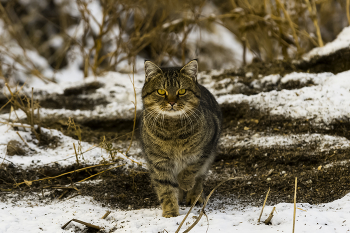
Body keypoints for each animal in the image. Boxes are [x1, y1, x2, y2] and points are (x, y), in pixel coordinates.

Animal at [139, 59, 221, 218]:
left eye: (182, 91)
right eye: (161, 91)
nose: (172, 102)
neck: (173, 130)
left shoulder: (204, 150)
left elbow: (191, 168)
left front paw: (185, 183)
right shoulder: (158, 162)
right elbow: (166, 190)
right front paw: (170, 213)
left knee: (200, 178)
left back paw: (194, 196)